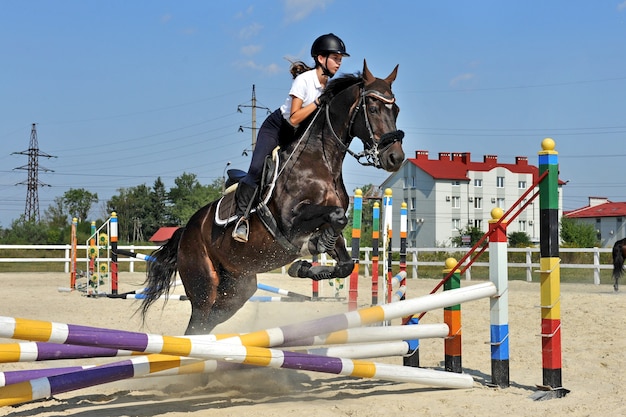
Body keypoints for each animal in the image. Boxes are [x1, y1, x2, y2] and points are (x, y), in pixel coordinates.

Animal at [138, 60, 404, 334]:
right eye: (372, 108)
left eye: (396, 110)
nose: (396, 158)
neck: (321, 161)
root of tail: (185, 232)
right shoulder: (290, 221)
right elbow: (336, 216)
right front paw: (311, 250)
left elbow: (345, 261)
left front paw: (306, 262)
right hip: (204, 284)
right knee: (197, 323)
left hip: (236, 290)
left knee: (207, 323)